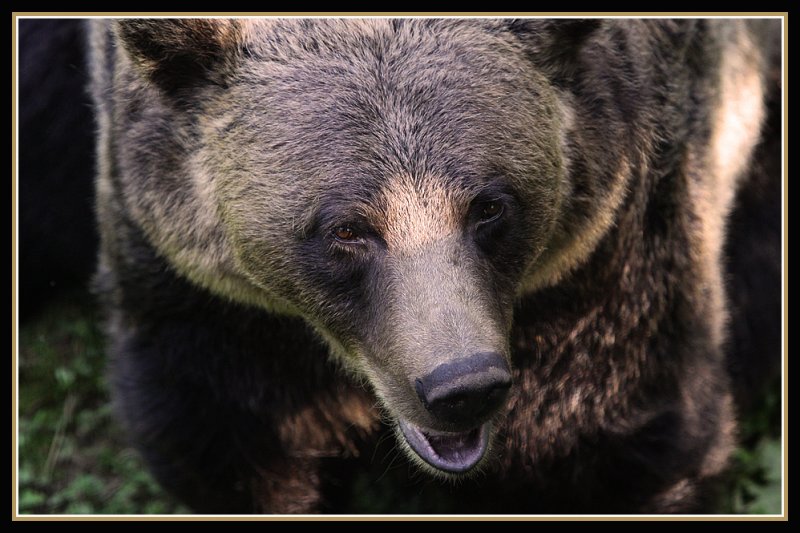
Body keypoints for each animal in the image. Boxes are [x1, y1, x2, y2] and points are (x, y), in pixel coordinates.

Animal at [89, 18, 780, 512]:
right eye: (347, 230)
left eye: (489, 206)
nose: (463, 386)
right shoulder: (207, 300)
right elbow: (224, 428)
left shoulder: (615, 253)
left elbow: (622, 426)